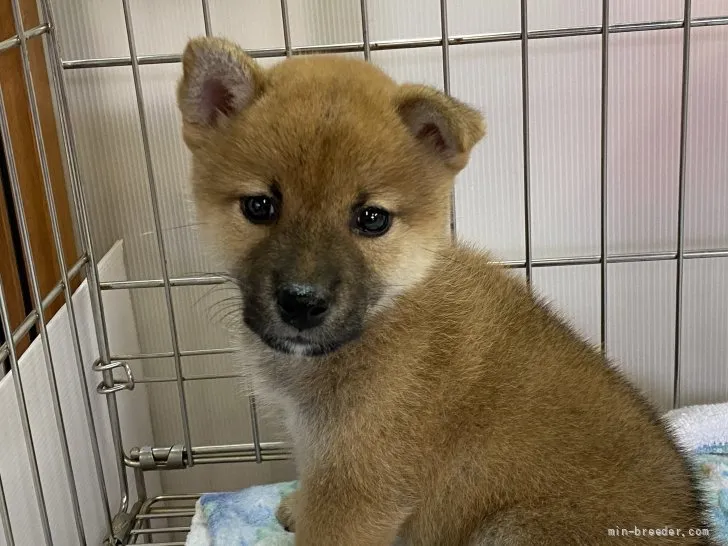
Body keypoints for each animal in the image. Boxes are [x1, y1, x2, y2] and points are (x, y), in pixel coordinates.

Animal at [176, 37, 712, 544]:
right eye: (260, 206)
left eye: (371, 218)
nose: (302, 302)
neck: (386, 315)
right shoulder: (319, 449)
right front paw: (296, 506)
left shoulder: (357, 486)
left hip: (514, 528)